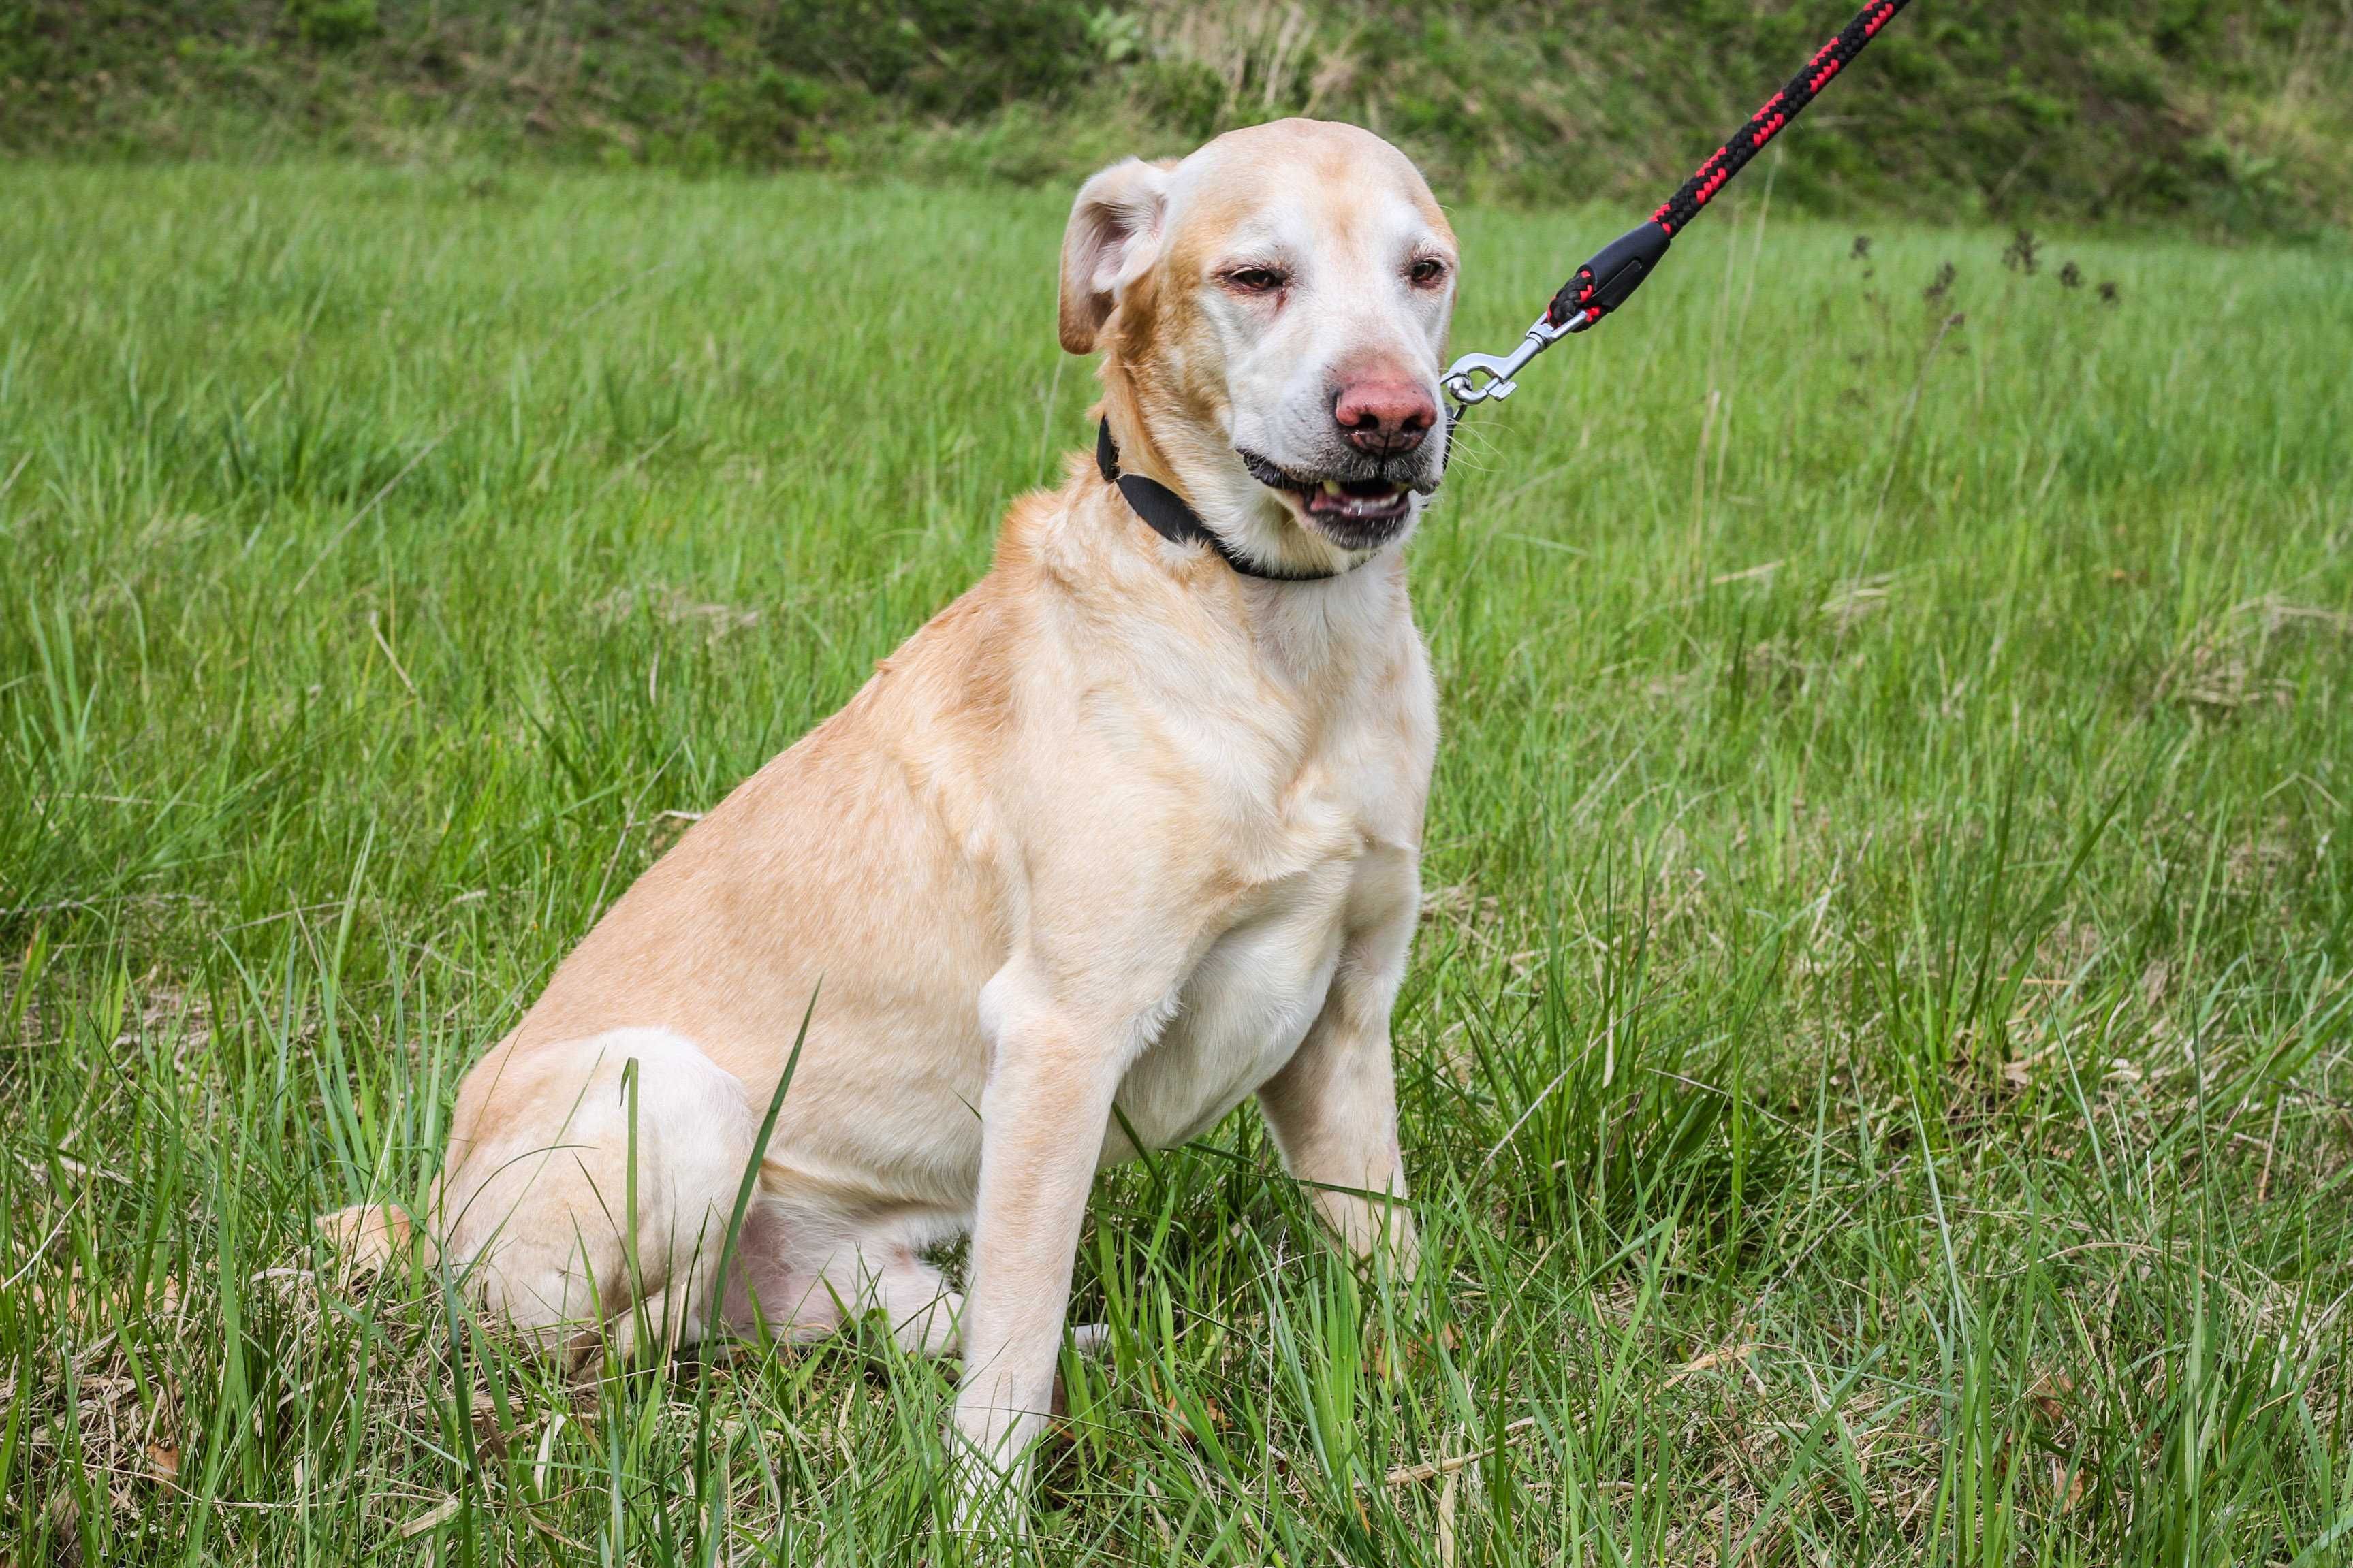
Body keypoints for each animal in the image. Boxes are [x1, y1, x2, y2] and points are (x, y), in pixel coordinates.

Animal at [336, 120, 1449, 1494]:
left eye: (1425, 270)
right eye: (1255, 277)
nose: (1394, 416)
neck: (1278, 640)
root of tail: (430, 1222)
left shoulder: (1343, 1026)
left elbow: (1391, 1258)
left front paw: (1433, 1393)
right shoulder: (1062, 1033)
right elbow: (1010, 1347)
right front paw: (983, 1511)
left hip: (851, 1266)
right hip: (675, 1100)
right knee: (608, 1347)